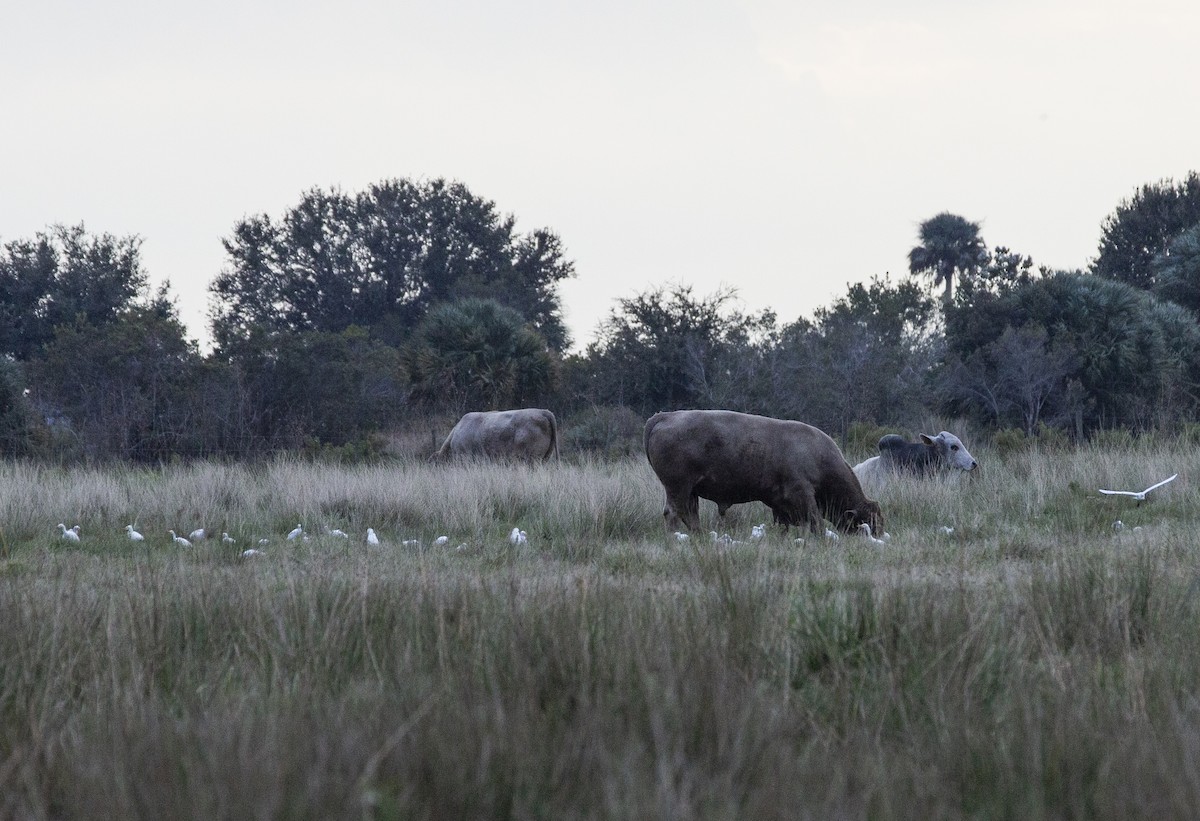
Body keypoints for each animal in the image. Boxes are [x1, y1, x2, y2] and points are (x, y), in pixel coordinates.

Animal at [648, 410, 883, 537]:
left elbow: (783, 524)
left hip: (691, 492)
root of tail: (664, 417)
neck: (820, 455)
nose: (879, 536)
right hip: (678, 487)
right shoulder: (802, 493)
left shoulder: (778, 504)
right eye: (868, 521)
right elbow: (815, 521)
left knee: (690, 515)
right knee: (673, 513)